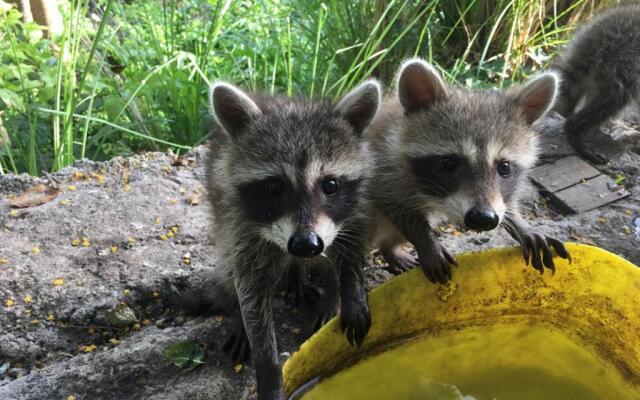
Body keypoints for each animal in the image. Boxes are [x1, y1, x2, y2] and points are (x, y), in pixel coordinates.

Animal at [205, 79, 380, 398]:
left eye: (330, 185)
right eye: (274, 187)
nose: (306, 245)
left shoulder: (358, 204)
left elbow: (350, 247)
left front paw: (349, 291)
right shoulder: (240, 224)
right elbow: (250, 286)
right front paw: (268, 366)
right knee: (230, 266)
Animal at [368, 58, 572, 284]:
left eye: (504, 167)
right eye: (449, 163)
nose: (484, 218)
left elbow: (504, 202)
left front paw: (520, 224)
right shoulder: (385, 166)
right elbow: (396, 205)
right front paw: (425, 239)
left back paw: (390, 247)